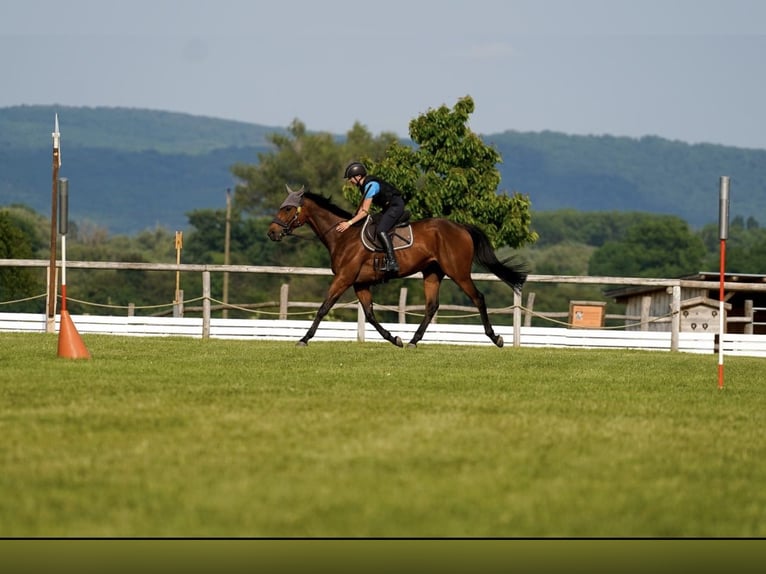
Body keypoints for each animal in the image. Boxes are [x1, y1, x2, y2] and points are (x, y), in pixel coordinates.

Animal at [266, 187, 528, 348]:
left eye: (287, 208)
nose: (272, 232)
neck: (342, 235)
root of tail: (461, 227)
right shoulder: (360, 283)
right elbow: (370, 315)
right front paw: (394, 339)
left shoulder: (344, 278)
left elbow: (323, 308)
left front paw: (304, 338)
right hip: (432, 273)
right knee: (431, 306)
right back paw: (413, 341)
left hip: (459, 273)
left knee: (478, 298)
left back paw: (495, 338)